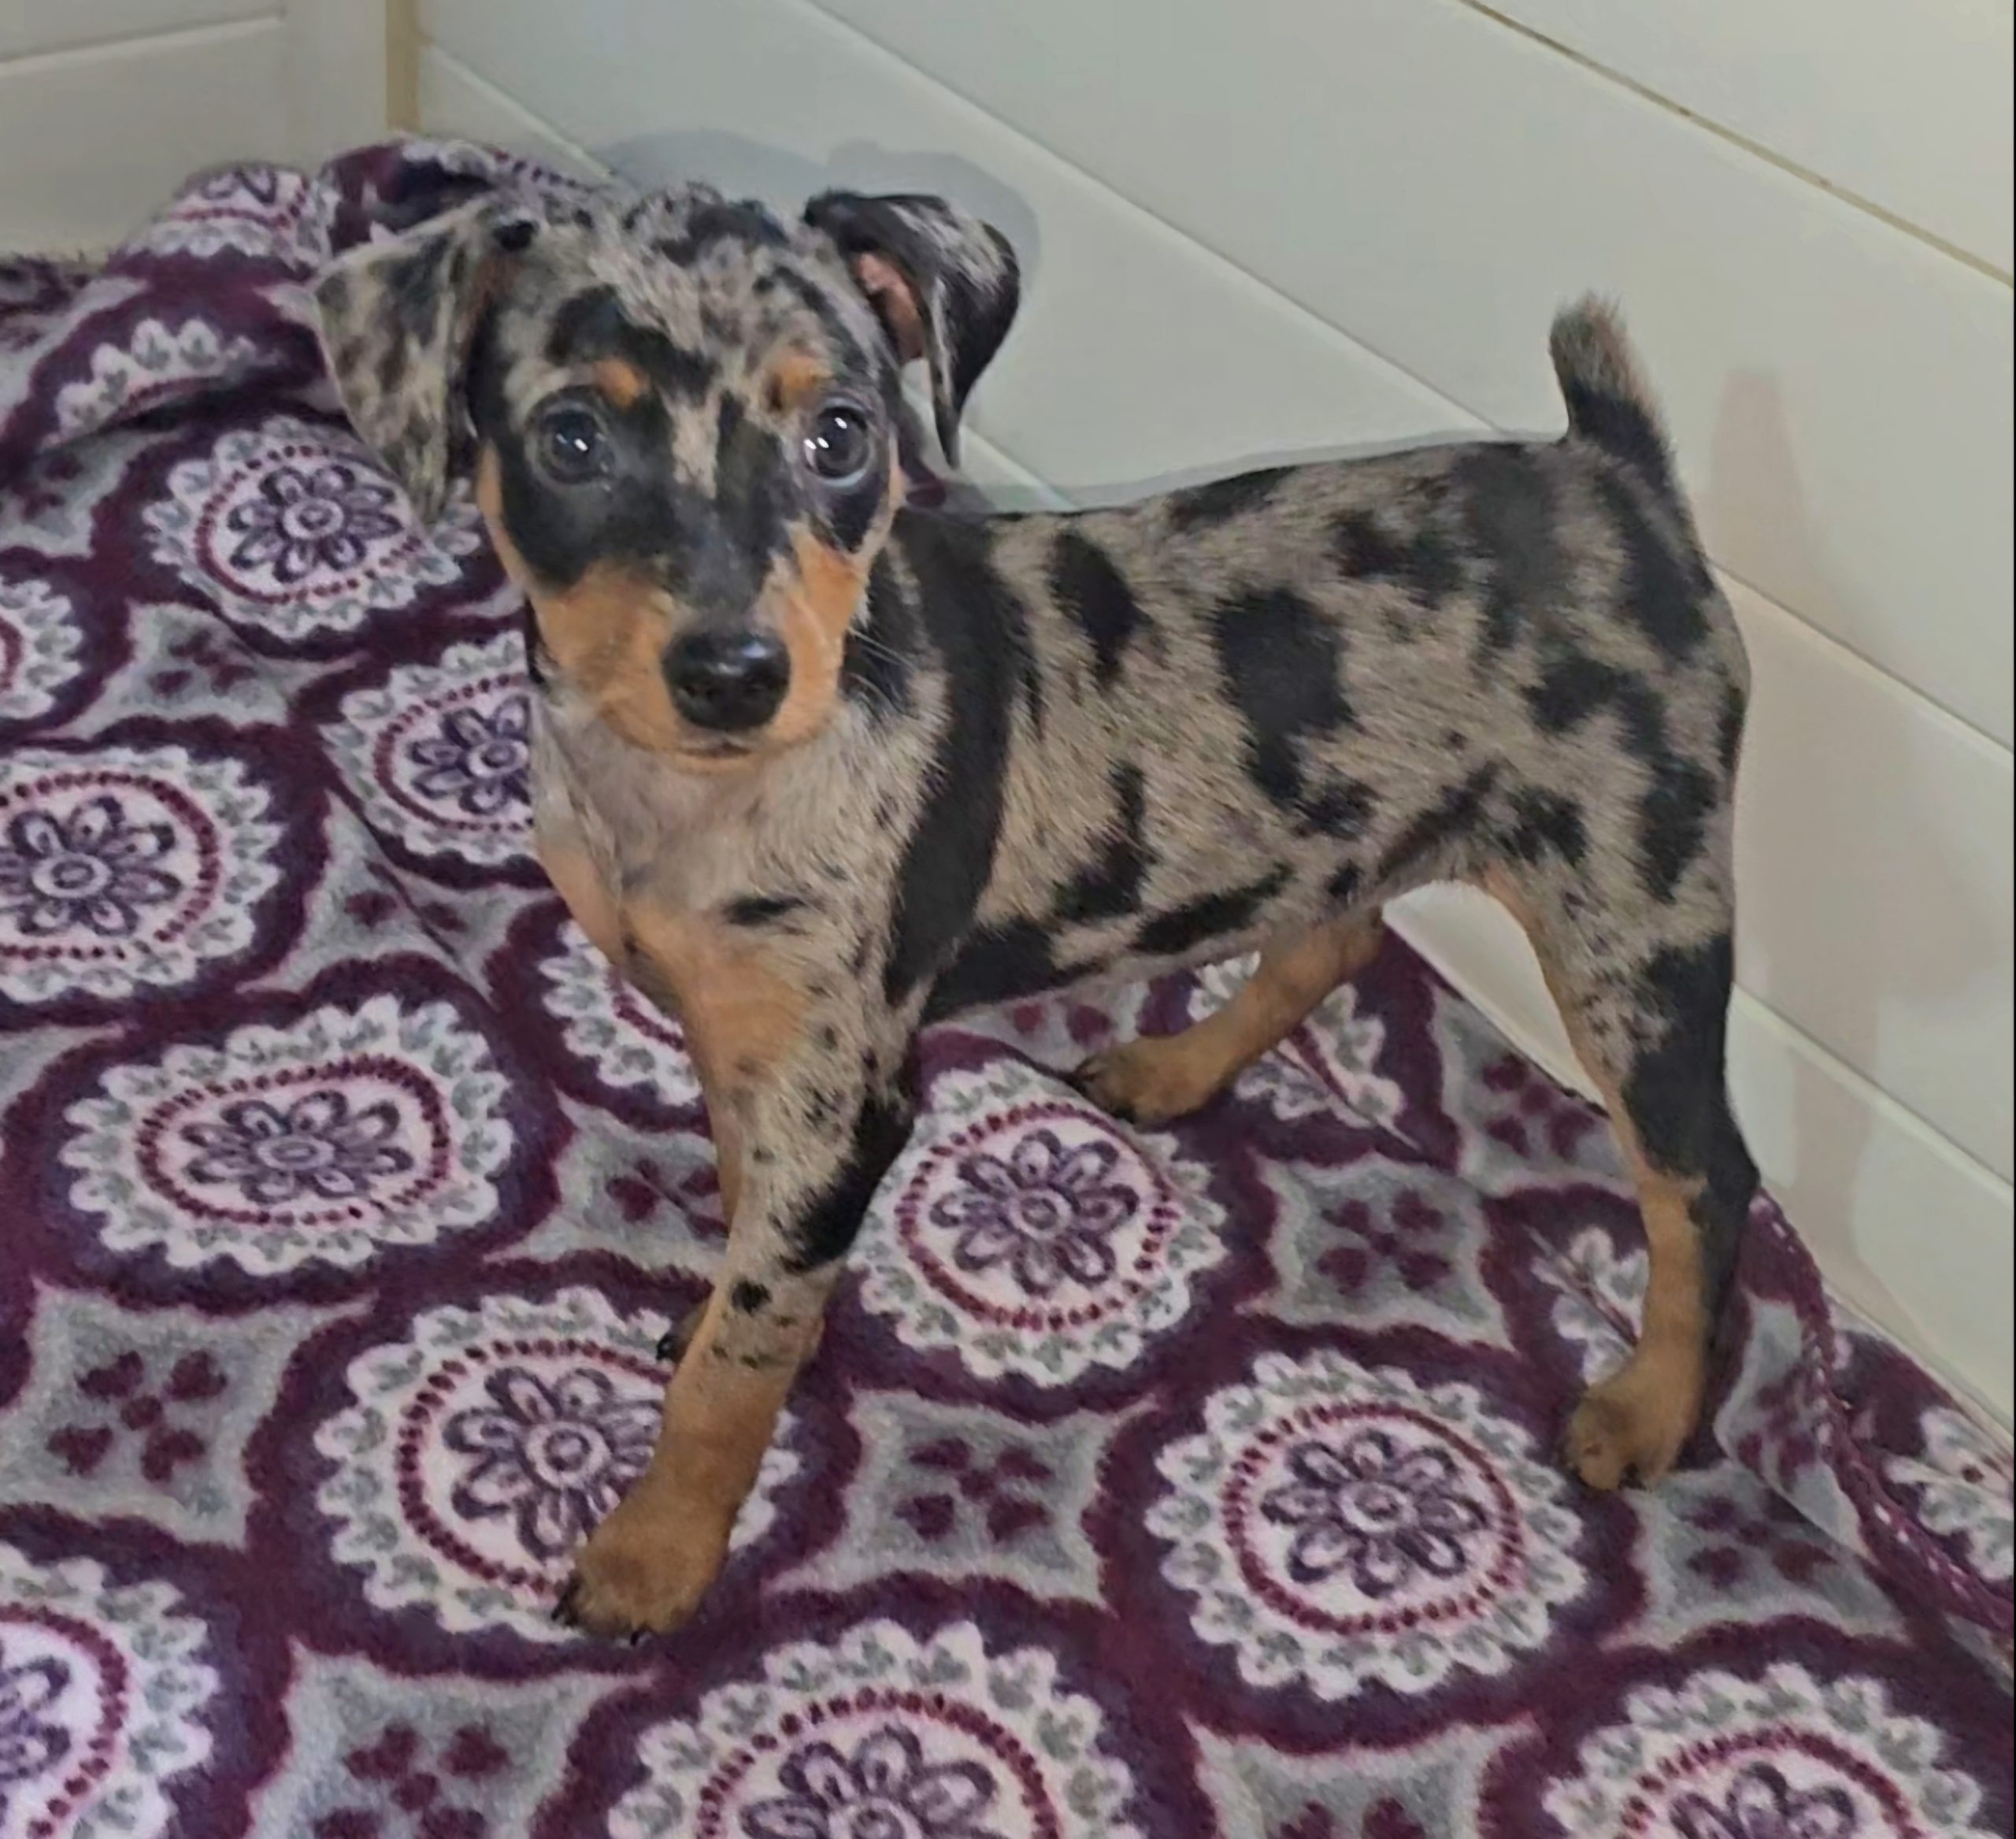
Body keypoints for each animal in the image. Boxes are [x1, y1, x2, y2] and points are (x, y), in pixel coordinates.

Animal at [314, 179, 1757, 1640]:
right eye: (573, 439)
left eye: (842, 436)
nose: (734, 673)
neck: (684, 797)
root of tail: (1617, 476)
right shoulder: (754, 1050)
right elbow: (748, 1231)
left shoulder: (845, 1094)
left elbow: (735, 1365)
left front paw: (658, 1548)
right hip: (1361, 835)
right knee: (1339, 935)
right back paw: (1176, 1066)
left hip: (1632, 916)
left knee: (1703, 1176)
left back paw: (1648, 1408)